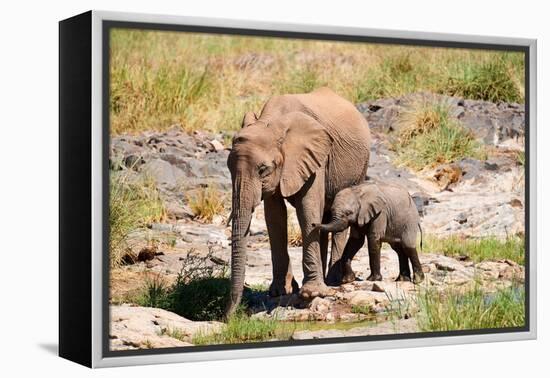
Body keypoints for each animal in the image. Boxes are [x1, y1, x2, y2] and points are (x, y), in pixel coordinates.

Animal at [226, 86, 374, 316]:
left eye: (263, 169)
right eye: (228, 168)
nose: (229, 316)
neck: (271, 121)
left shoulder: (315, 157)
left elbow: (307, 209)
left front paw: (311, 293)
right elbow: (274, 217)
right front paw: (280, 291)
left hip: (359, 167)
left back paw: (334, 280)